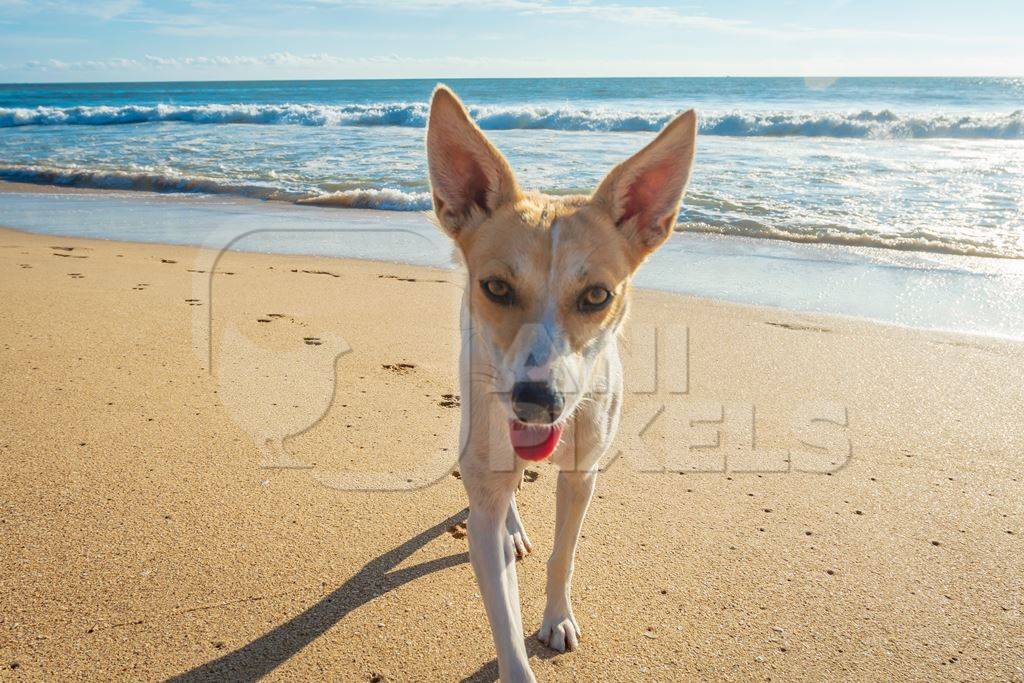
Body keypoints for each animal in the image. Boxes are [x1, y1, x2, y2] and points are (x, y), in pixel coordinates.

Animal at [423, 87, 696, 683]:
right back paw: (510, 524)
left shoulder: (582, 475)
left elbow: (563, 556)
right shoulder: (488, 484)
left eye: (597, 296)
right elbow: (503, 620)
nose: (536, 402)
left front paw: (557, 619)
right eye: (496, 287)